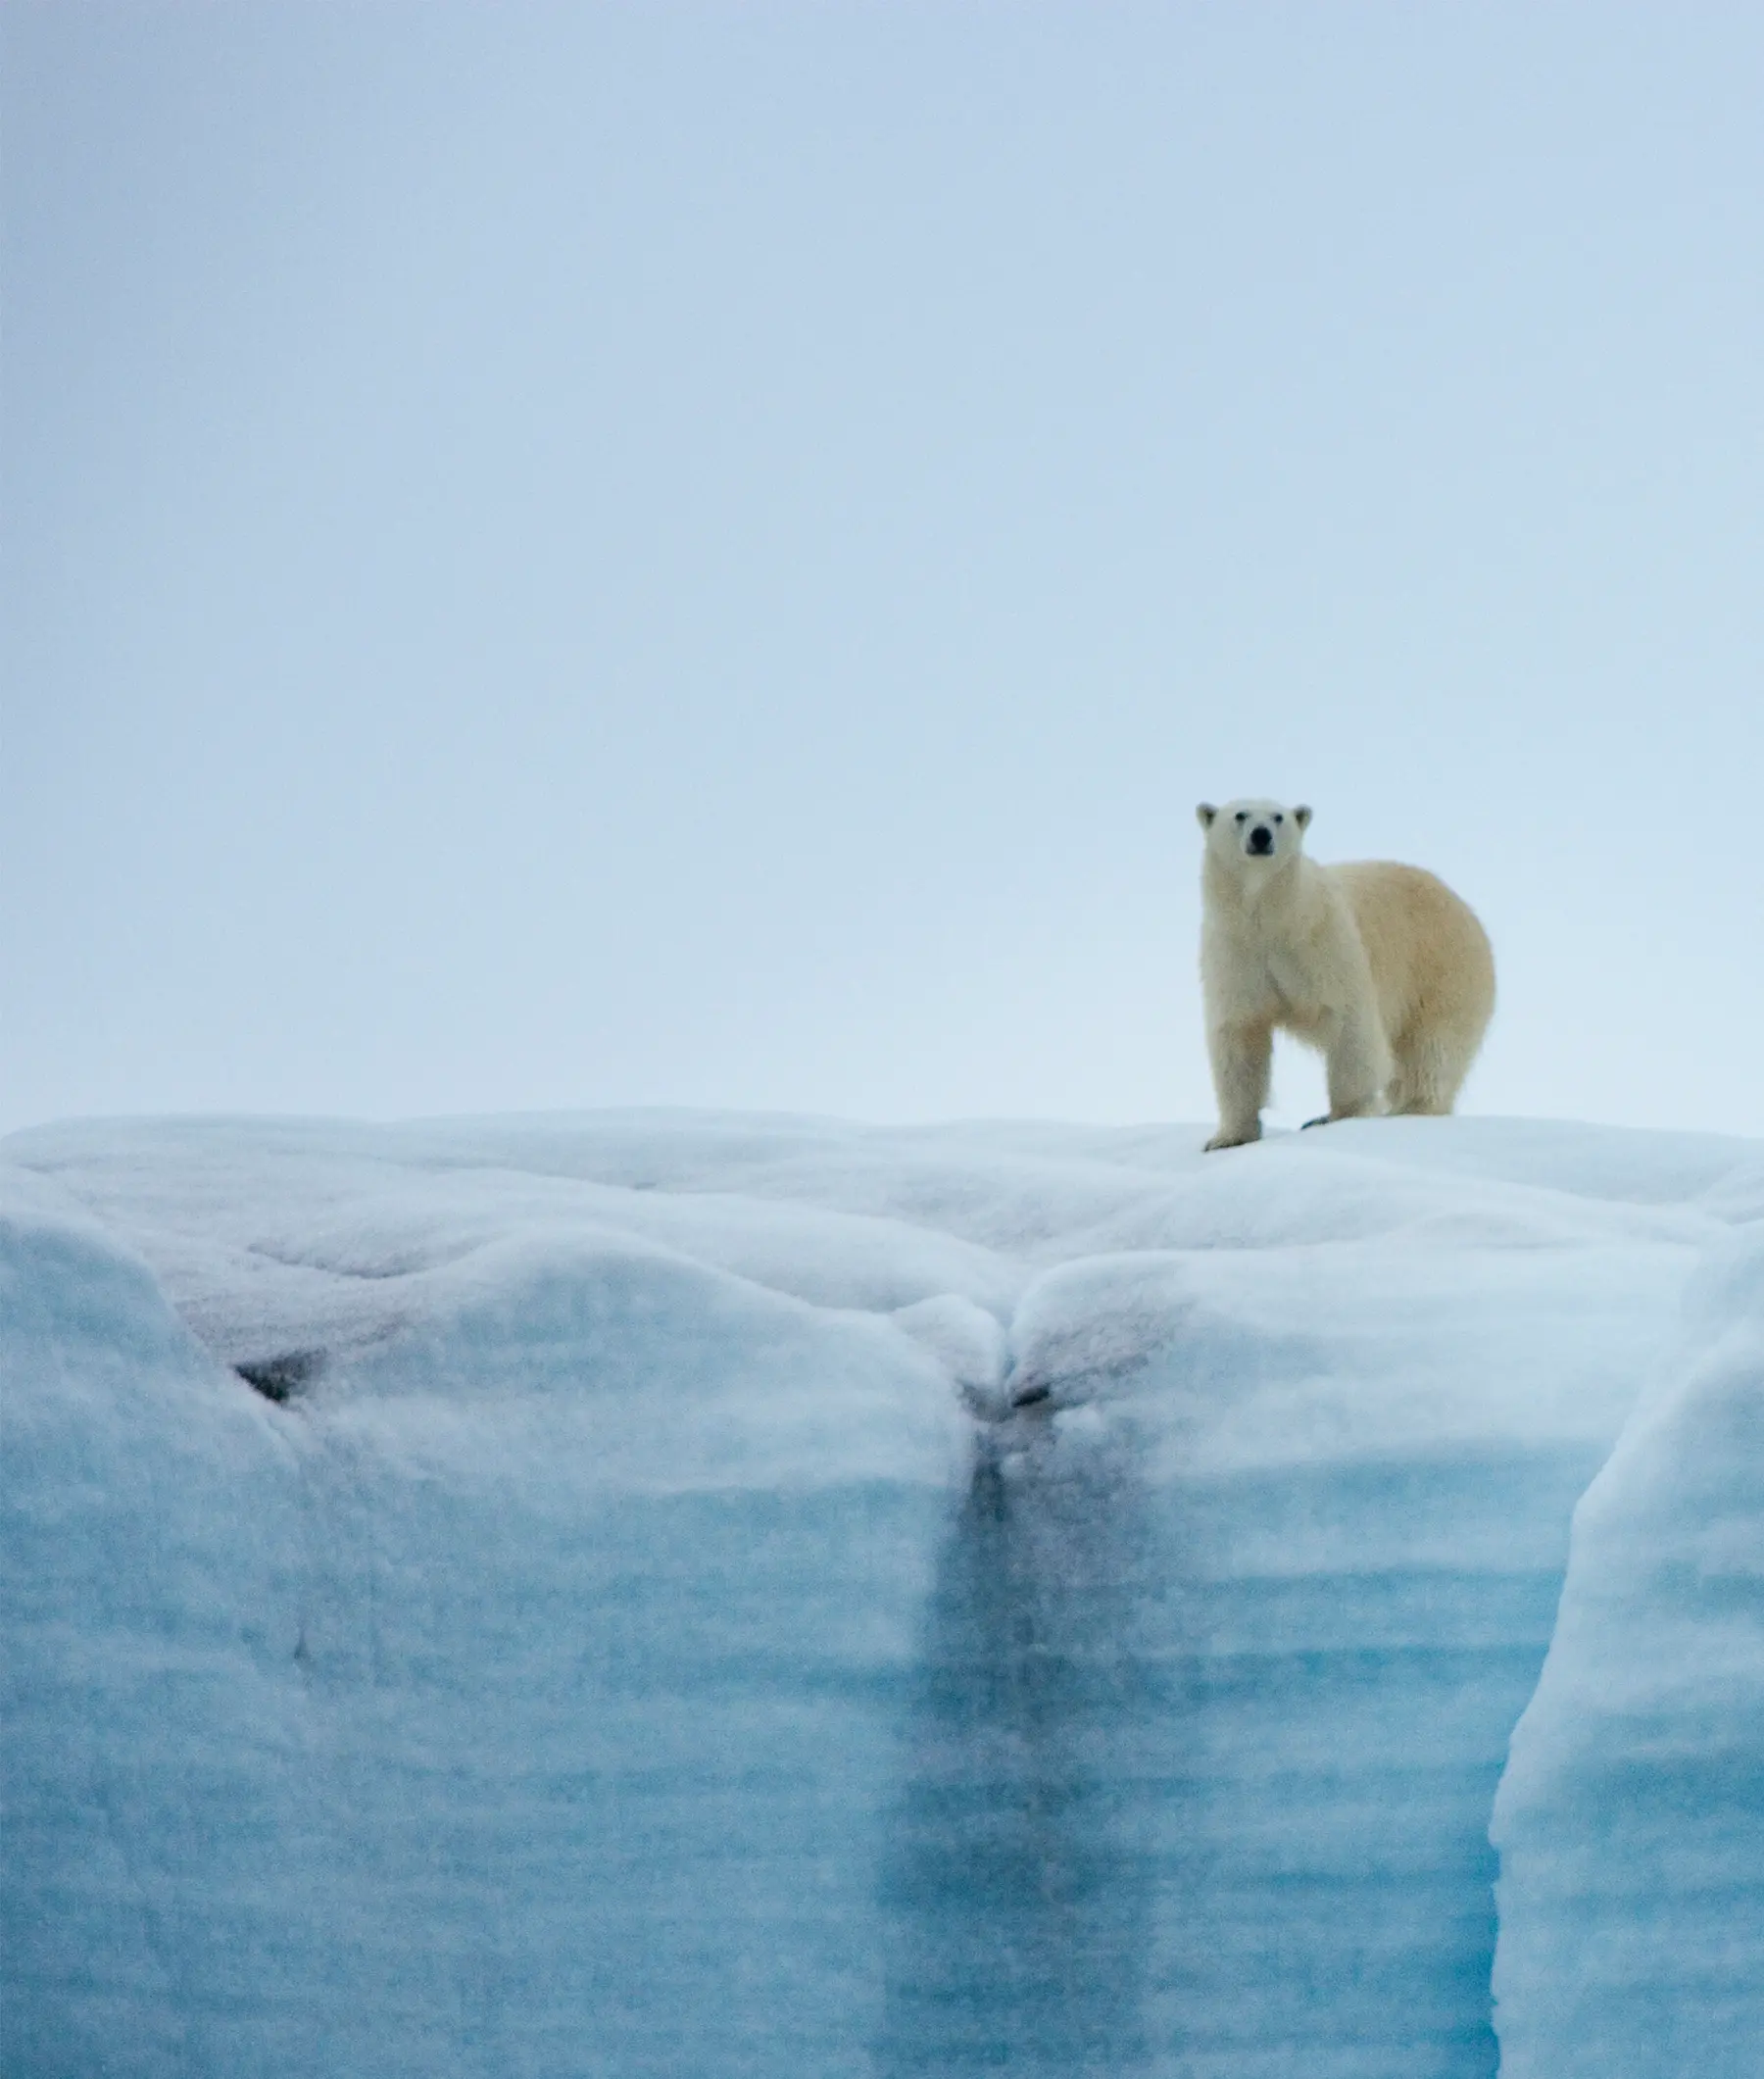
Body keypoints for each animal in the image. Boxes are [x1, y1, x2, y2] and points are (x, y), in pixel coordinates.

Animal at [1196, 799, 1495, 1151]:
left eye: (1278, 816)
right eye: (1240, 814)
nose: (1261, 835)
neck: (1274, 919)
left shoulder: (1323, 943)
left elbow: (1349, 1024)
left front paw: (1338, 1116)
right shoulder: (1236, 955)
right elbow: (1239, 1036)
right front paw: (1228, 1137)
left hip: (1442, 970)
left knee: (1431, 1048)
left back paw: (1413, 1107)